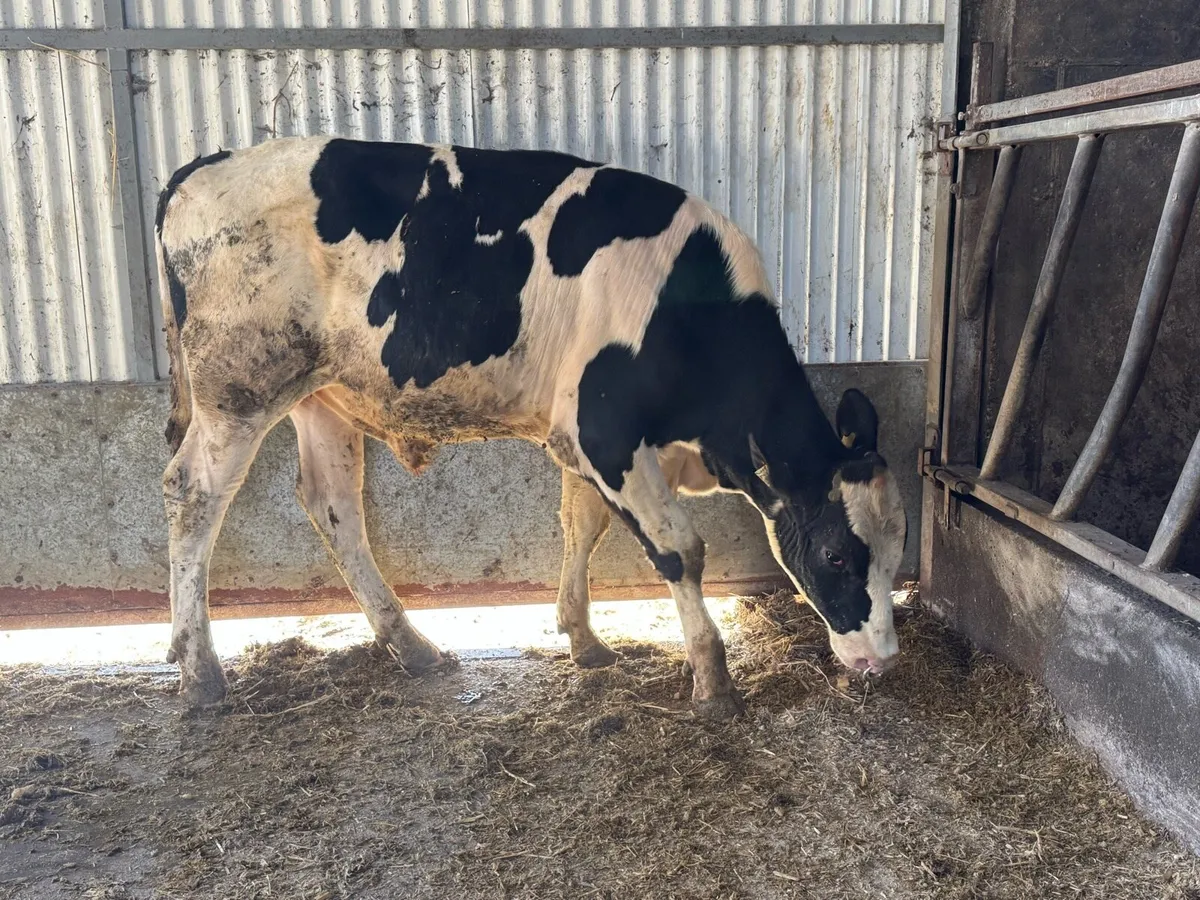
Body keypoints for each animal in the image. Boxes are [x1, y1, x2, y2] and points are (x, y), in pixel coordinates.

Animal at [155, 136, 907, 720]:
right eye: (836, 556)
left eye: (897, 554)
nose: (882, 661)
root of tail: (201, 167)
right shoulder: (604, 430)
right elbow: (680, 552)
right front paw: (712, 678)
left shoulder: (587, 440)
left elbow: (582, 525)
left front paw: (583, 638)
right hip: (238, 387)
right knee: (193, 495)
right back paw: (200, 673)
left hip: (321, 393)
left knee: (333, 504)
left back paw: (411, 646)